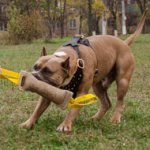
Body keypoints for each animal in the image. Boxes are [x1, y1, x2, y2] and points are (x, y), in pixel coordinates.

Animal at [20, 9, 148, 132]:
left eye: (48, 71)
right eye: (35, 67)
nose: (33, 75)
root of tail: (123, 43)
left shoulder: (81, 93)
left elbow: (73, 110)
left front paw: (65, 125)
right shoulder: (47, 92)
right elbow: (37, 110)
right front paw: (28, 123)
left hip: (122, 81)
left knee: (120, 102)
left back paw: (115, 118)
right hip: (98, 86)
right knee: (106, 103)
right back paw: (95, 118)